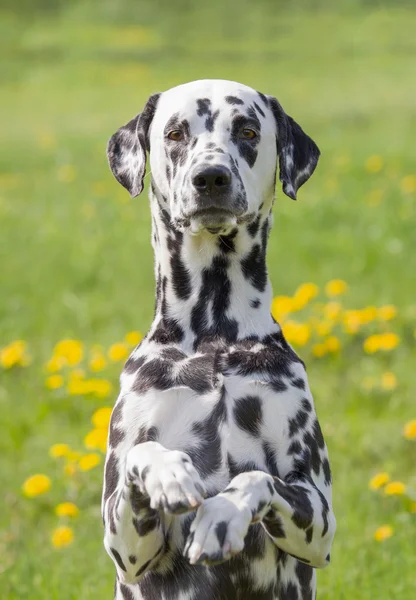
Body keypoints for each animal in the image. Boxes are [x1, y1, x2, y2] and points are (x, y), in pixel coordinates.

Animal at [102, 79, 336, 600]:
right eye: (174, 133)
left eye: (247, 130)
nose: (210, 177)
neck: (213, 339)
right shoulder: (123, 544)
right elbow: (144, 454)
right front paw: (171, 474)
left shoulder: (320, 517)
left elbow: (256, 477)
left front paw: (222, 514)